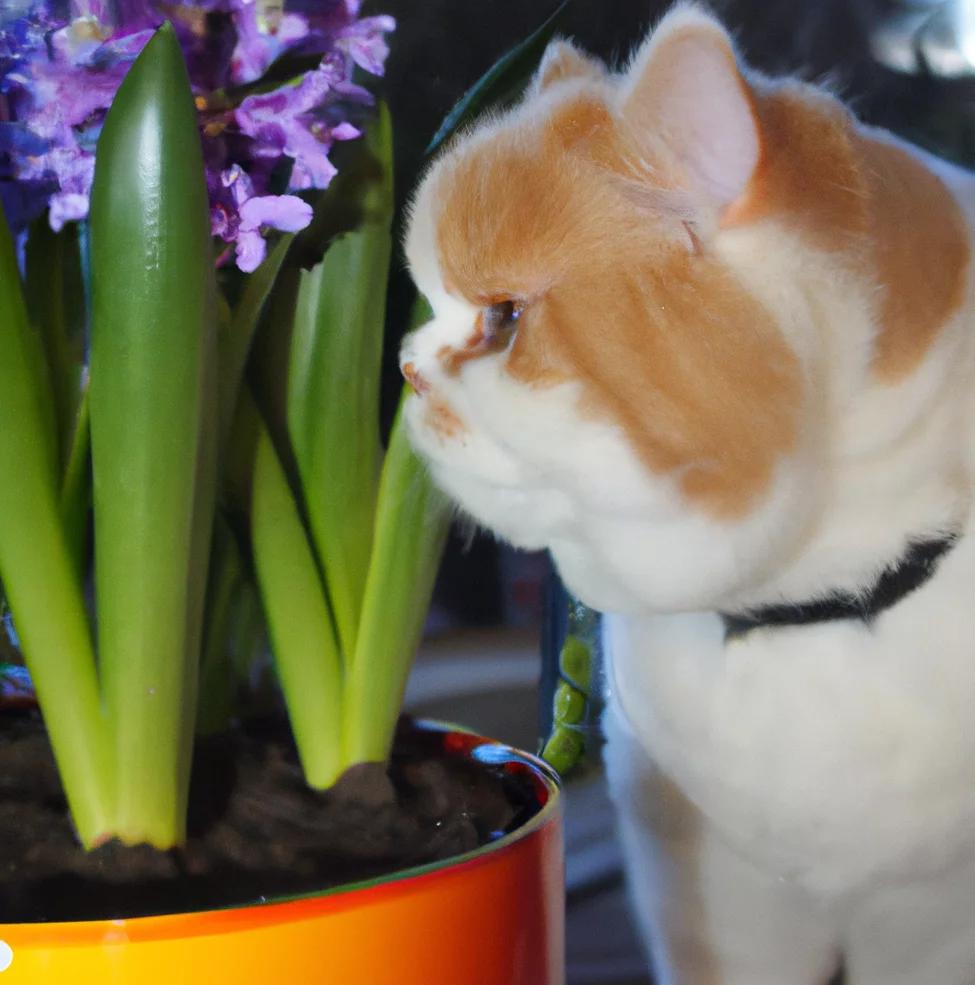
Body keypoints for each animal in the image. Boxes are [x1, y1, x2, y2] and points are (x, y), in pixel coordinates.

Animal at [400, 3, 975, 980]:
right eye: (427, 303)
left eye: (503, 320)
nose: (403, 366)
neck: (813, 614)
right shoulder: (707, 904)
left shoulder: (932, 929)